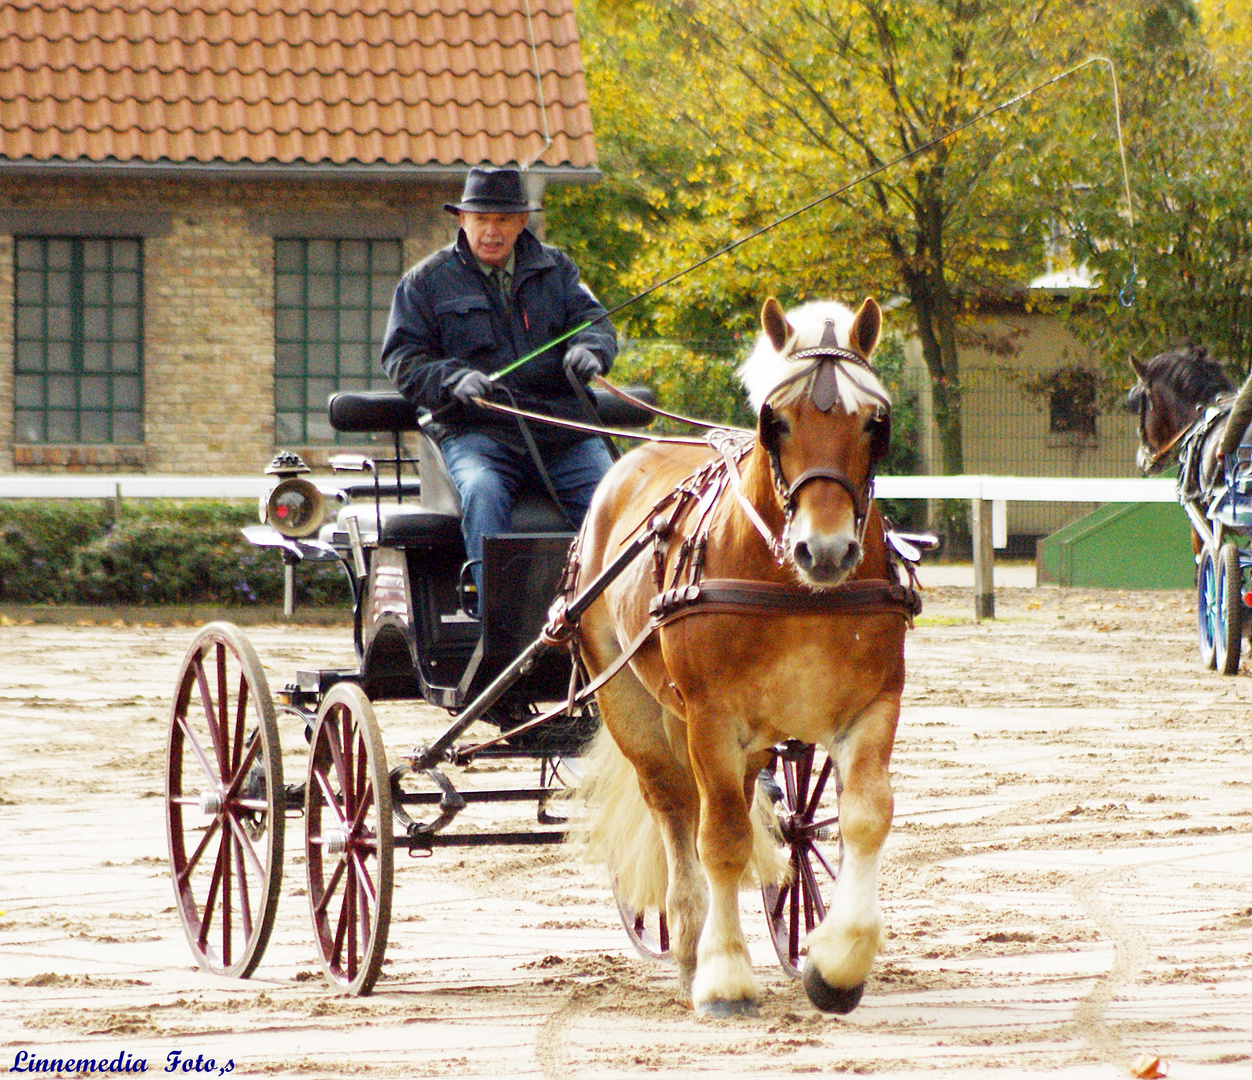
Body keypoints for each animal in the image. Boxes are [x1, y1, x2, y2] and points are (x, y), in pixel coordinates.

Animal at [573, 294, 916, 1011]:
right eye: (774, 421)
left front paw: (836, 964)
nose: (827, 550)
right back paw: (690, 946)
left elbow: (866, 817)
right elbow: (723, 840)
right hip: (633, 705)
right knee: (677, 811)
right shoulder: (713, 719)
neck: (796, 587)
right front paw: (726, 974)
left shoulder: (873, 707)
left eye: (875, 422)